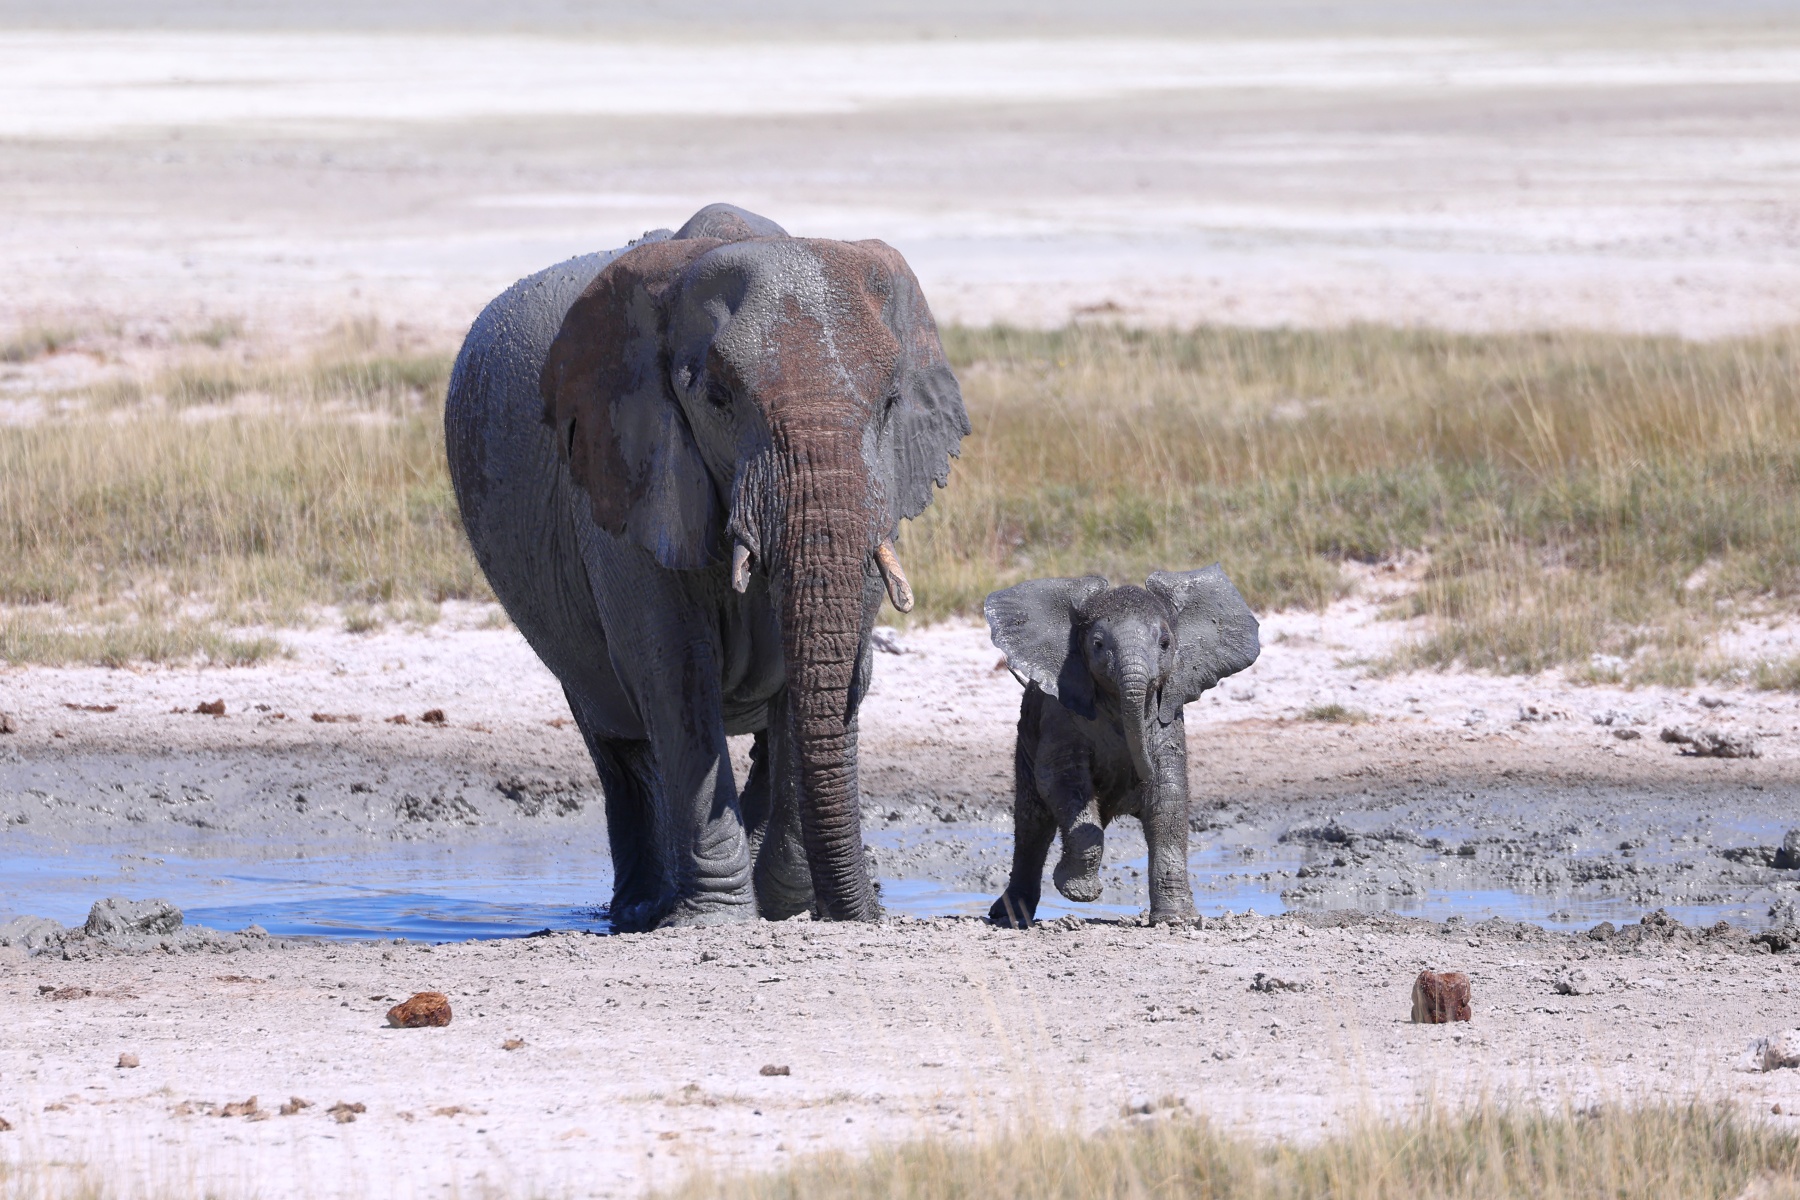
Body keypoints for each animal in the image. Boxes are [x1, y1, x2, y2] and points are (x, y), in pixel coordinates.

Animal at [444, 203, 969, 930]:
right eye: (718, 399)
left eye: (890, 403)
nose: (867, 912)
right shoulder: (625, 477)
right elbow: (673, 671)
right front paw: (718, 917)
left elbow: (827, 675)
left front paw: (785, 904)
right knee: (620, 745)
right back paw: (643, 908)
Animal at [983, 567, 1260, 927]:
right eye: (1098, 645)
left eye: (1165, 644)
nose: (1136, 773)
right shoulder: (1060, 711)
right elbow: (1061, 780)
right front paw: (1077, 891)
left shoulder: (1169, 714)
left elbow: (1169, 795)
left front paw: (1177, 921)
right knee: (1033, 823)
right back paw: (1009, 918)